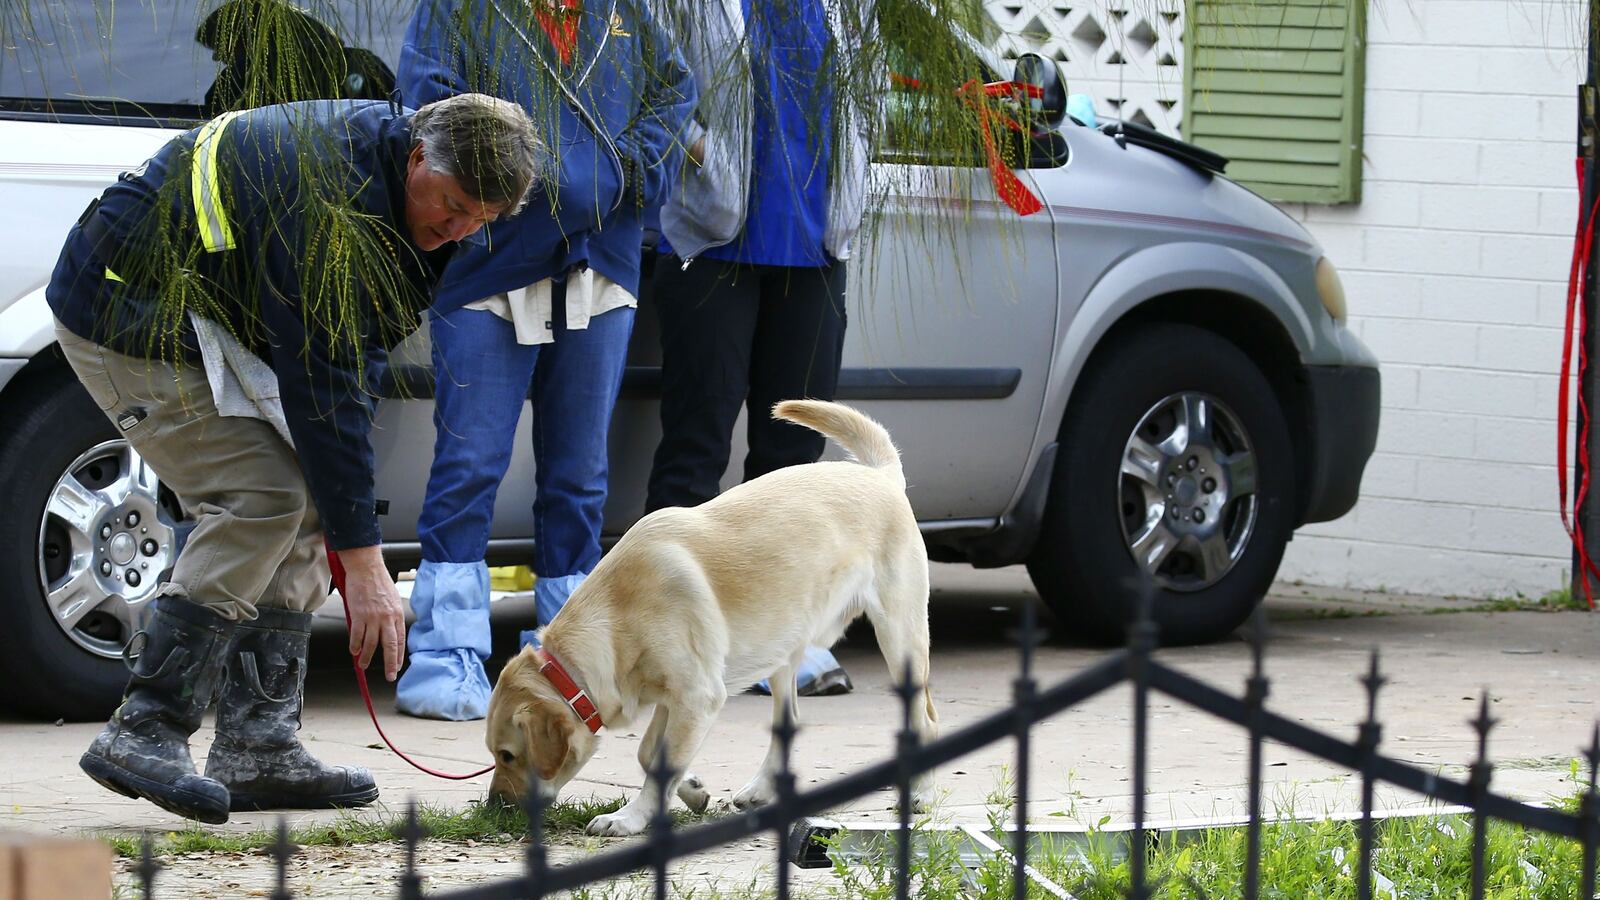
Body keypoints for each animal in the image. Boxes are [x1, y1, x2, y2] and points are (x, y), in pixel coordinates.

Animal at [483, 398, 934, 832]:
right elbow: (648, 753)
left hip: (899, 637)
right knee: (787, 720)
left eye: (507, 755)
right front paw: (692, 789)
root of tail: (881, 476)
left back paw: (922, 793)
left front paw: (631, 818)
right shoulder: (675, 699)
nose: (493, 809)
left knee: (926, 719)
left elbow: (659, 764)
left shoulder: (697, 696)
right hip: (781, 652)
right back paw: (761, 788)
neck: (616, 616)